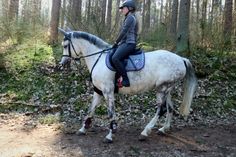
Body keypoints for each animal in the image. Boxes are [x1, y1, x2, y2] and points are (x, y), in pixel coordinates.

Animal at [58, 28, 196, 143]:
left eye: (65, 46)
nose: (62, 63)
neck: (98, 58)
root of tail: (181, 59)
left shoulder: (108, 92)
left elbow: (111, 113)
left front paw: (110, 135)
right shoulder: (98, 92)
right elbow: (90, 110)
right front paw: (83, 128)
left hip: (162, 89)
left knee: (160, 110)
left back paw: (145, 132)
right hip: (167, 89)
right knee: (170, 108)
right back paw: (163, 129)